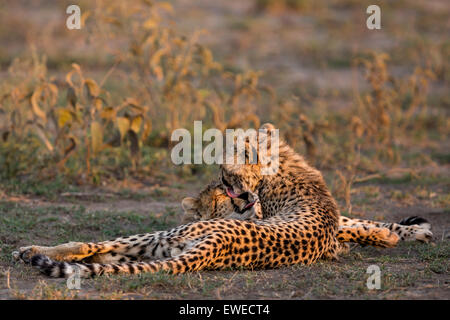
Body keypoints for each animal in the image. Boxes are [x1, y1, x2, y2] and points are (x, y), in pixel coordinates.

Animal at [13, 123, 432, 278]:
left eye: (225, 178)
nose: (241, 198)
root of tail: (214, 248)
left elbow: (356, 223)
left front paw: (406, 231)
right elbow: (354, 223)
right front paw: (401, 232)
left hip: (157, 243)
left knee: (94, 251)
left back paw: (35, 254)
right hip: (160, 244)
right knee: (95, 252)